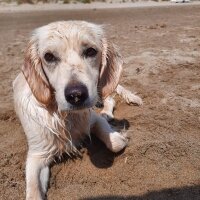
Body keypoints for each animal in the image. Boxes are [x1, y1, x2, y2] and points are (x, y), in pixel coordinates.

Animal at [12, 21, 142, 199]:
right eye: (49, 56)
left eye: (91, 51)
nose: (76, 95)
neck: (67, 117)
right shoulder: (37, 154)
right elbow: (33, 192)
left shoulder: (93, 117)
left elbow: (116, 143)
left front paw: (118, 136)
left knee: (110, 99)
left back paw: (107, 113)